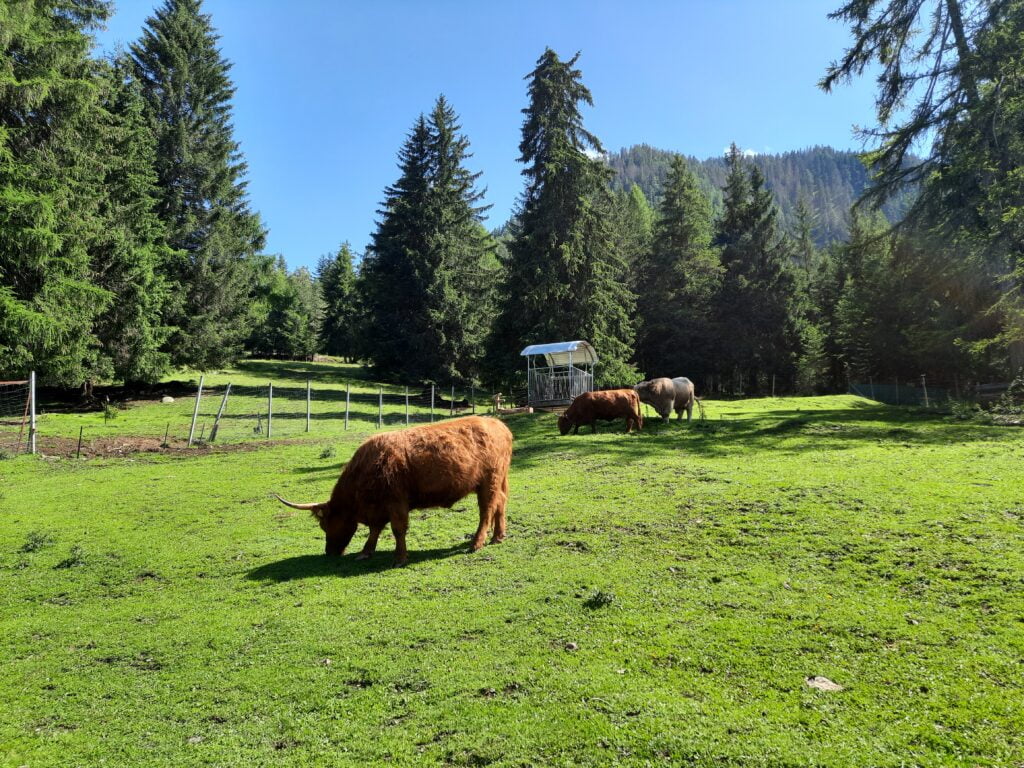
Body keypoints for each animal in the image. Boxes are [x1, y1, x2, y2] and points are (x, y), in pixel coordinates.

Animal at [274, 417, 512, 569]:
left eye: (326, 525)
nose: (329, 552)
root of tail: (499, 425)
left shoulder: (396, 502)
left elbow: (398, 530)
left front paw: (399, 558)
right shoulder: (379, 508)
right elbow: (375, 530)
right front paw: (365, 552)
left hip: (488, 482)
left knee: (486, 510)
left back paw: (477, 543)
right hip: (497, 480)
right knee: (500, 503)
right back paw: (498, 536)